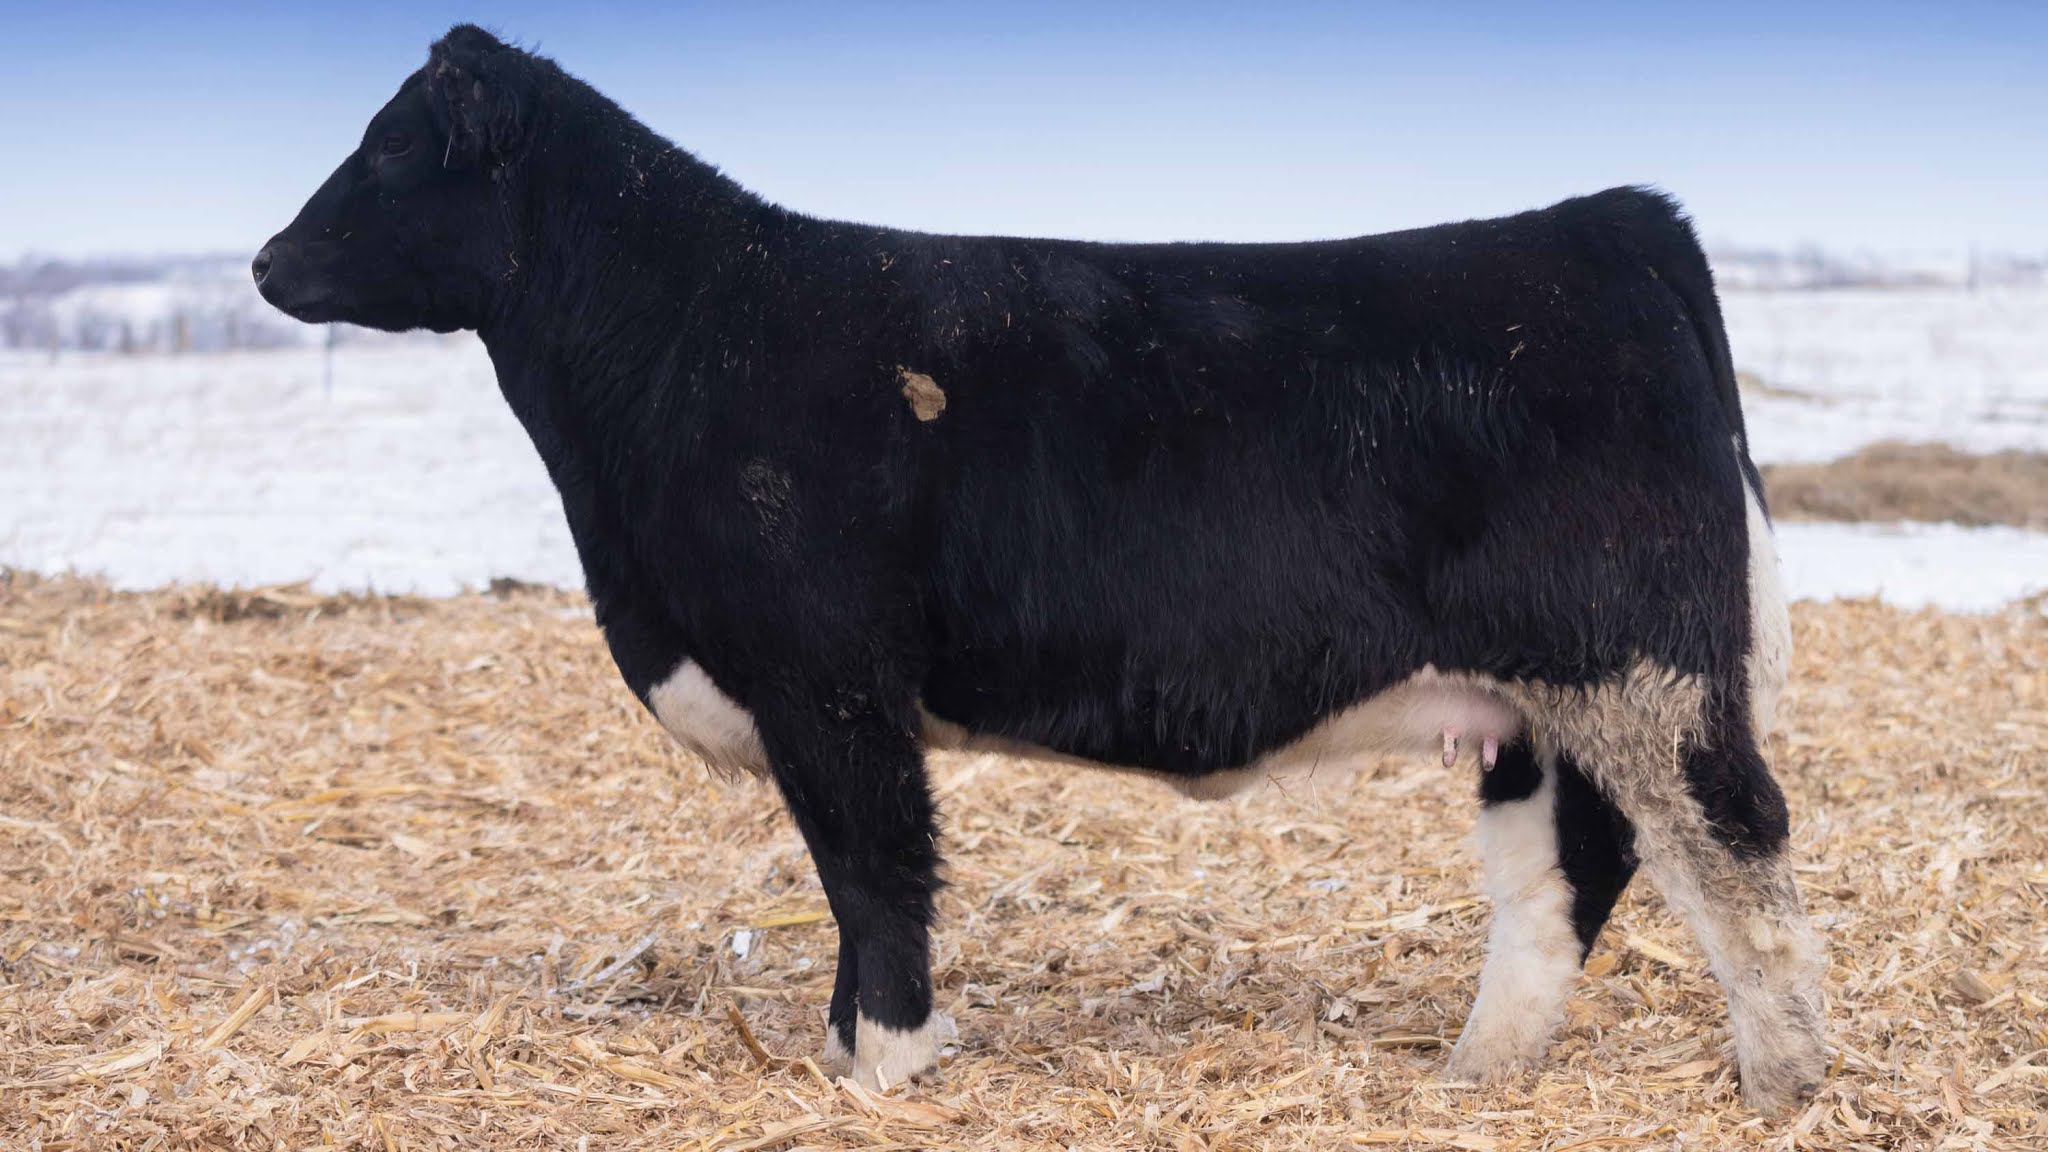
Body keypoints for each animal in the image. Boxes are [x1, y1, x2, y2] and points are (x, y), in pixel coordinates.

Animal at [254, 25, 1825, 1110]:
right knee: (1566, 867)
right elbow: (856, 878)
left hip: (1640, 669)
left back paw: (1784, 1082)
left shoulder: (830, 676)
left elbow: (874, 866)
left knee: (1734, 842)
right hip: (1535, 699)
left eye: (389, 148)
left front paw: (884, 1062)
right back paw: (1477, 1074)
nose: (267, 261)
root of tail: (1611, 222)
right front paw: (857, 1047)